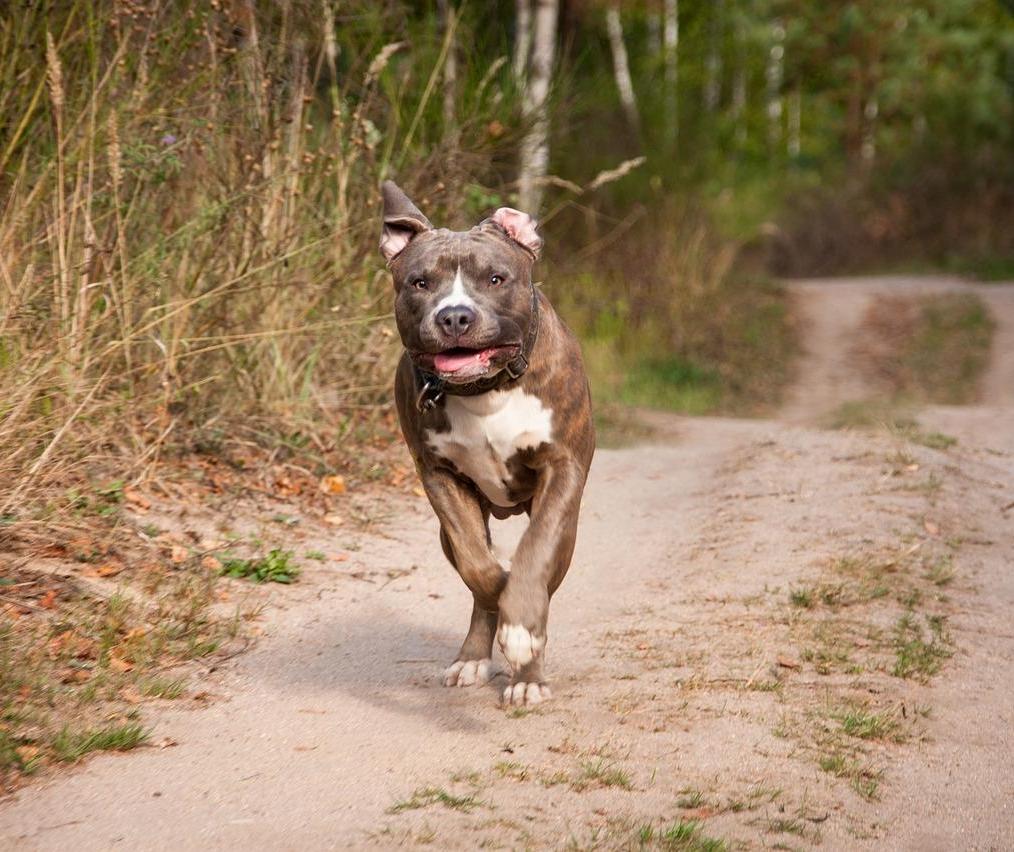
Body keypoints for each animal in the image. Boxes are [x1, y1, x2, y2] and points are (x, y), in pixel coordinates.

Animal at [383, 179, 596, 705]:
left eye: (496, 278)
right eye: (419, 283)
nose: (455, 316)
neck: (486, 390)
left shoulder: (562, 469)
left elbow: (534, 555)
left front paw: (522, 633)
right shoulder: (439, 476)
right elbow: (478, 566)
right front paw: (499, 589)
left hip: (568, 530)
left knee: (543, 570)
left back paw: (527, 674)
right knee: (476, 574)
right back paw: (474, 656)